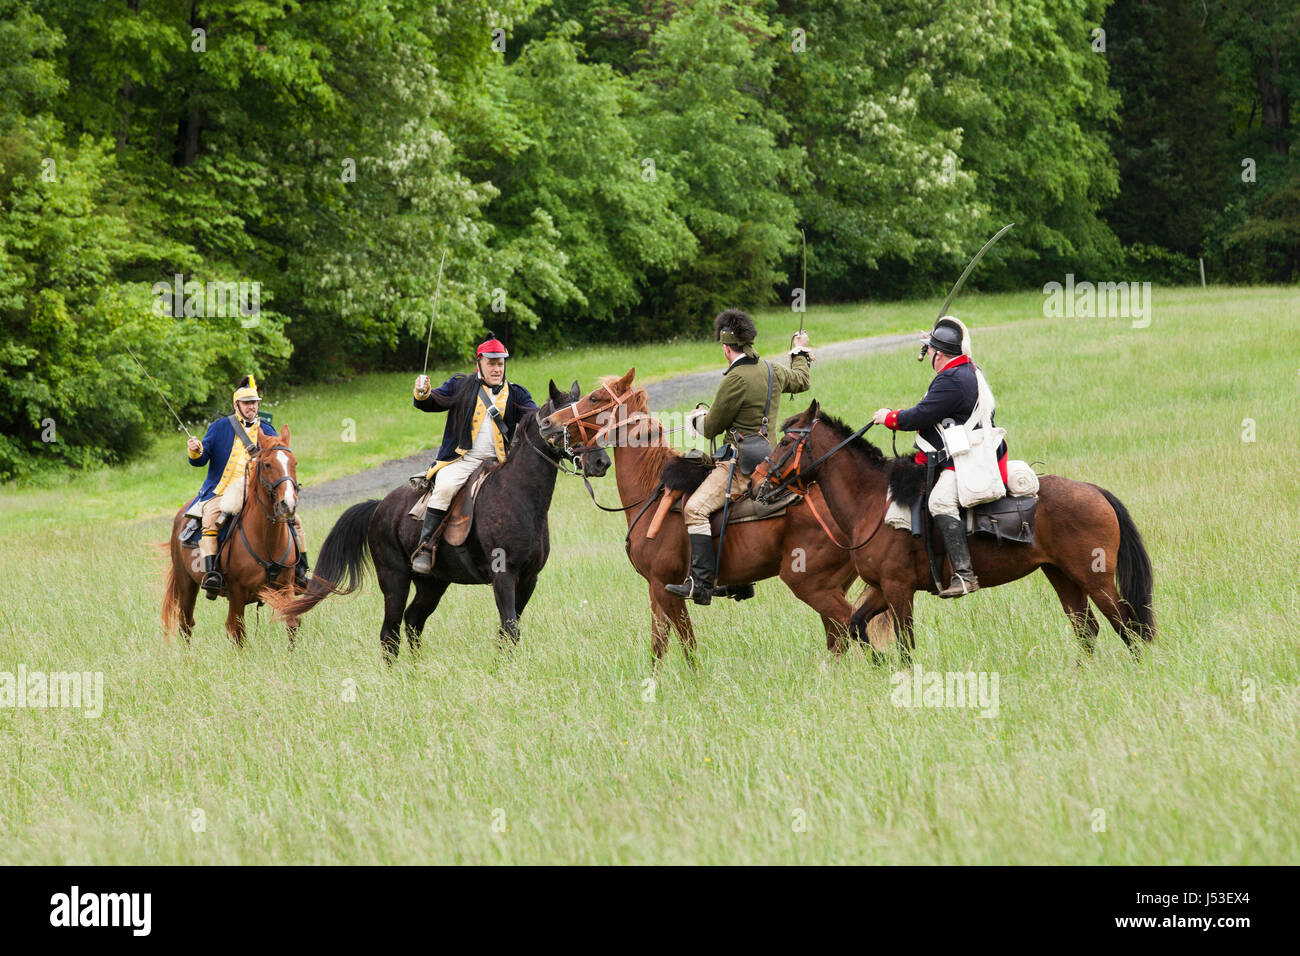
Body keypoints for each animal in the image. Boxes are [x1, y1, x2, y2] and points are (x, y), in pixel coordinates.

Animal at [161, 429, 301, 647]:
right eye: (267, 464)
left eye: (294, 463)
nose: (288, 504)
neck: (266, 540)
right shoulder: (236, 595)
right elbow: (237, 633)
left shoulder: (286, 587)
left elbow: (292, 623)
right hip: (186, 584)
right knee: (186, 624)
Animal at [266, 382, 611, 658]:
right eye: (569, 422)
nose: (601, 462)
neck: (519, 495)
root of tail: (379, 508)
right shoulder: (504, 576)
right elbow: (510, 628)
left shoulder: (528, 579)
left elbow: (507, 631)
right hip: (394, 580)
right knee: (390, 633)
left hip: (433, 583)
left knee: (413, 622)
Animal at [538, 369, 894, 665]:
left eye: (594, 398)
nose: (548, 423)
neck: (651, 490)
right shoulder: (655, 591)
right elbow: (658, 647)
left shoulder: (666, 588)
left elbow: (687, 645)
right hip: (833, 586)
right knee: (840, 636)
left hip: (811, 585)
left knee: (852, 626)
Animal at [754, 400, 1159, 660]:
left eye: (786, 441)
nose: (758, 484)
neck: (873, 501)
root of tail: (1094, 491)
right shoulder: (881, 589)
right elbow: (856, 626)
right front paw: (877, 666)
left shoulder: (899, 590)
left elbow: (904, 646)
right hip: (1061, 575)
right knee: (1087, 629)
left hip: (1095, 578)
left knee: (1127, 624)